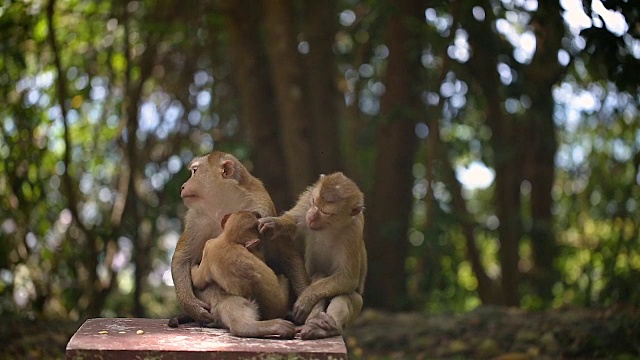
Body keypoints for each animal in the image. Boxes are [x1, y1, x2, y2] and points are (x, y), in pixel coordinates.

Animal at [169, 150, 308, 338]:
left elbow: (287, 256)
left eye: (195, 172)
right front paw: (192, 306)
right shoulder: (195, 219)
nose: (183, 186)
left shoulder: (264, 209)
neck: (224, 203)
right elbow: (183, 259)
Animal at [258, 173, 368, 338]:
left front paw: (306, 298)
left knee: (347, 296)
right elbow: (292, 222)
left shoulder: (353, 231)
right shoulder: (306, 201)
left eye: (325, 212)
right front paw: (276, 223)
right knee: (319, 274)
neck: (329, 227)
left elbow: (348, 278)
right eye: (314, 202)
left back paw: (325, 327)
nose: (311, 216)